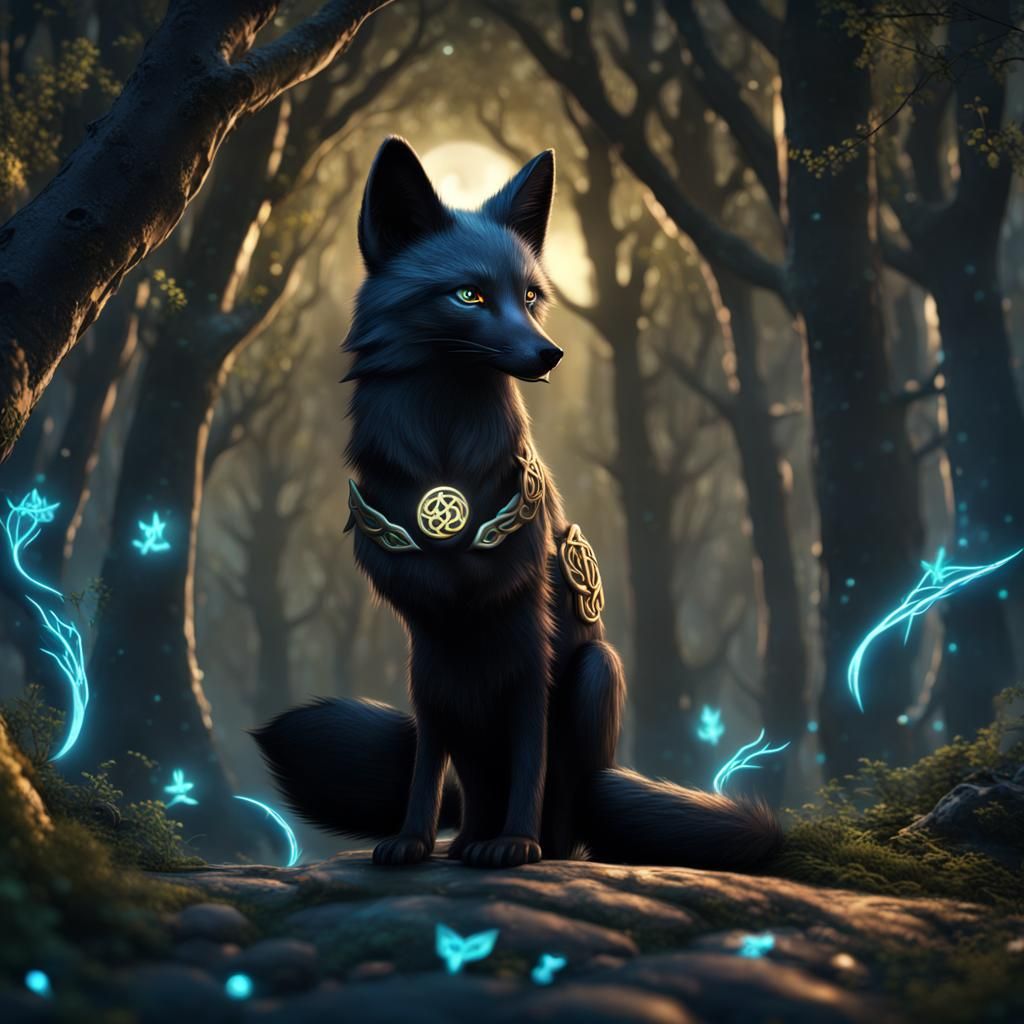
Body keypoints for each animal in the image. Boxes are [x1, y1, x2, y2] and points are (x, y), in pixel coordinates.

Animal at [253, 136, 783, 871]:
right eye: (469, 295)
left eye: (530, 296)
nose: (550, 353)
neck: (445, 461)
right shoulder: (424, 650)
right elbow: (425, 760)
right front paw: (412, 840)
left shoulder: (532, 639)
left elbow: (531, 750)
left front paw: (516, 844)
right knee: (467, 780)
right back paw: (463, 840)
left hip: (595, 673)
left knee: (564, 807)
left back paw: (532, 846)